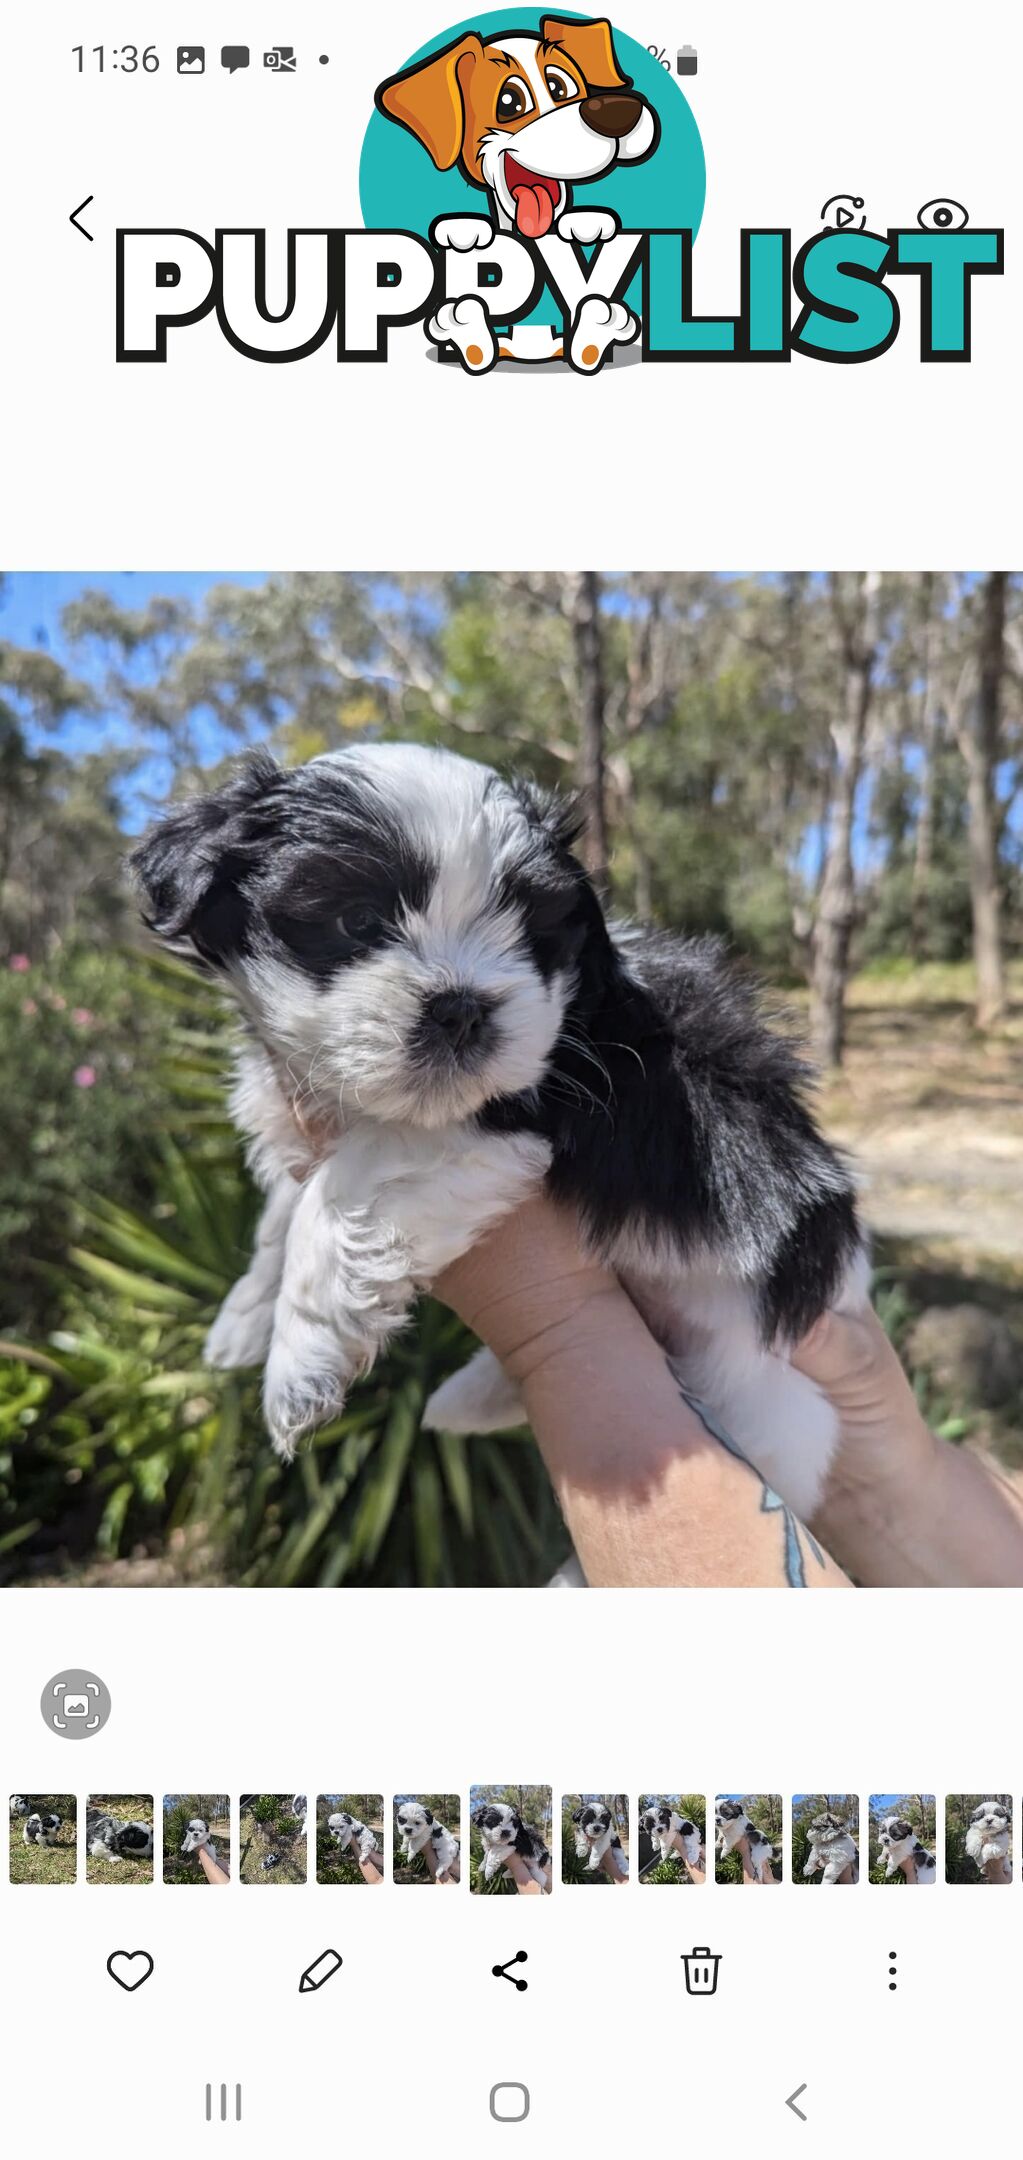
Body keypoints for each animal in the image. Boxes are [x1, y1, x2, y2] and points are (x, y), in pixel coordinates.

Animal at [133, 743, 871, 1520]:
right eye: (357, 922)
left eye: (529, 932)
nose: (460, 1007)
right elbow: (280, 1211)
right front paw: (245, 1316)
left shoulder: (517, 1114)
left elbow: (334, 1198)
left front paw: (297, 1363)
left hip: (763, 1406)